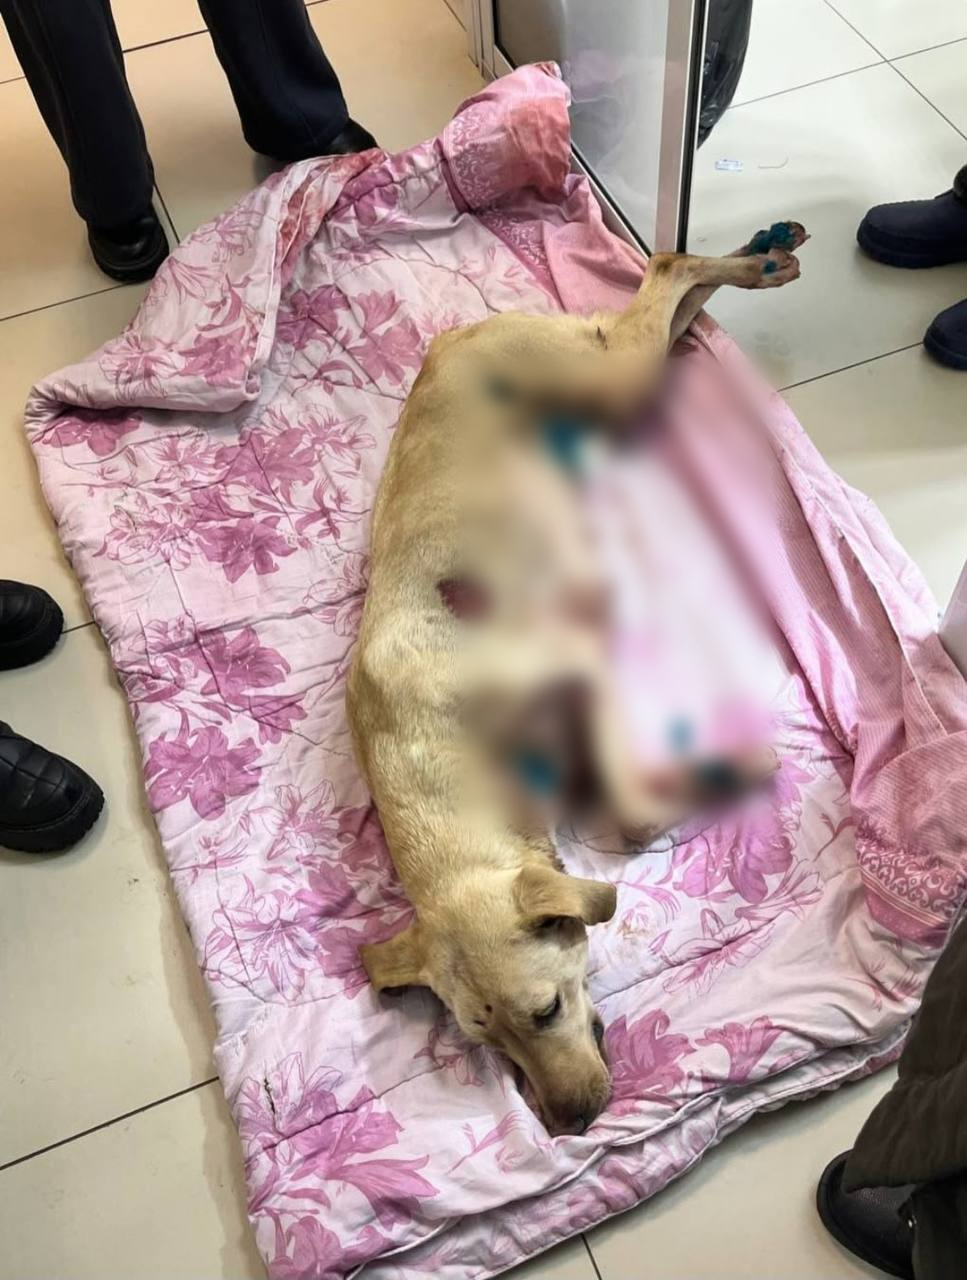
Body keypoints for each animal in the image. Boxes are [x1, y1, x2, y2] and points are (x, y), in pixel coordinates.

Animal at [346, 222, 807, 1136]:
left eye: (545, 1010)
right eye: (486, 1044)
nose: (569, 1125)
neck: (436, 754)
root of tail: (453, 337)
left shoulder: (583, 665)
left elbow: (628, 814)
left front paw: (729, 768)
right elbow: (623, 807)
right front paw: (712, 771)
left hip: (605, 379)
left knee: (664, 269)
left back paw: (756, 260)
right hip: (616, 388)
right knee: (665, 302)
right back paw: (759, 259)